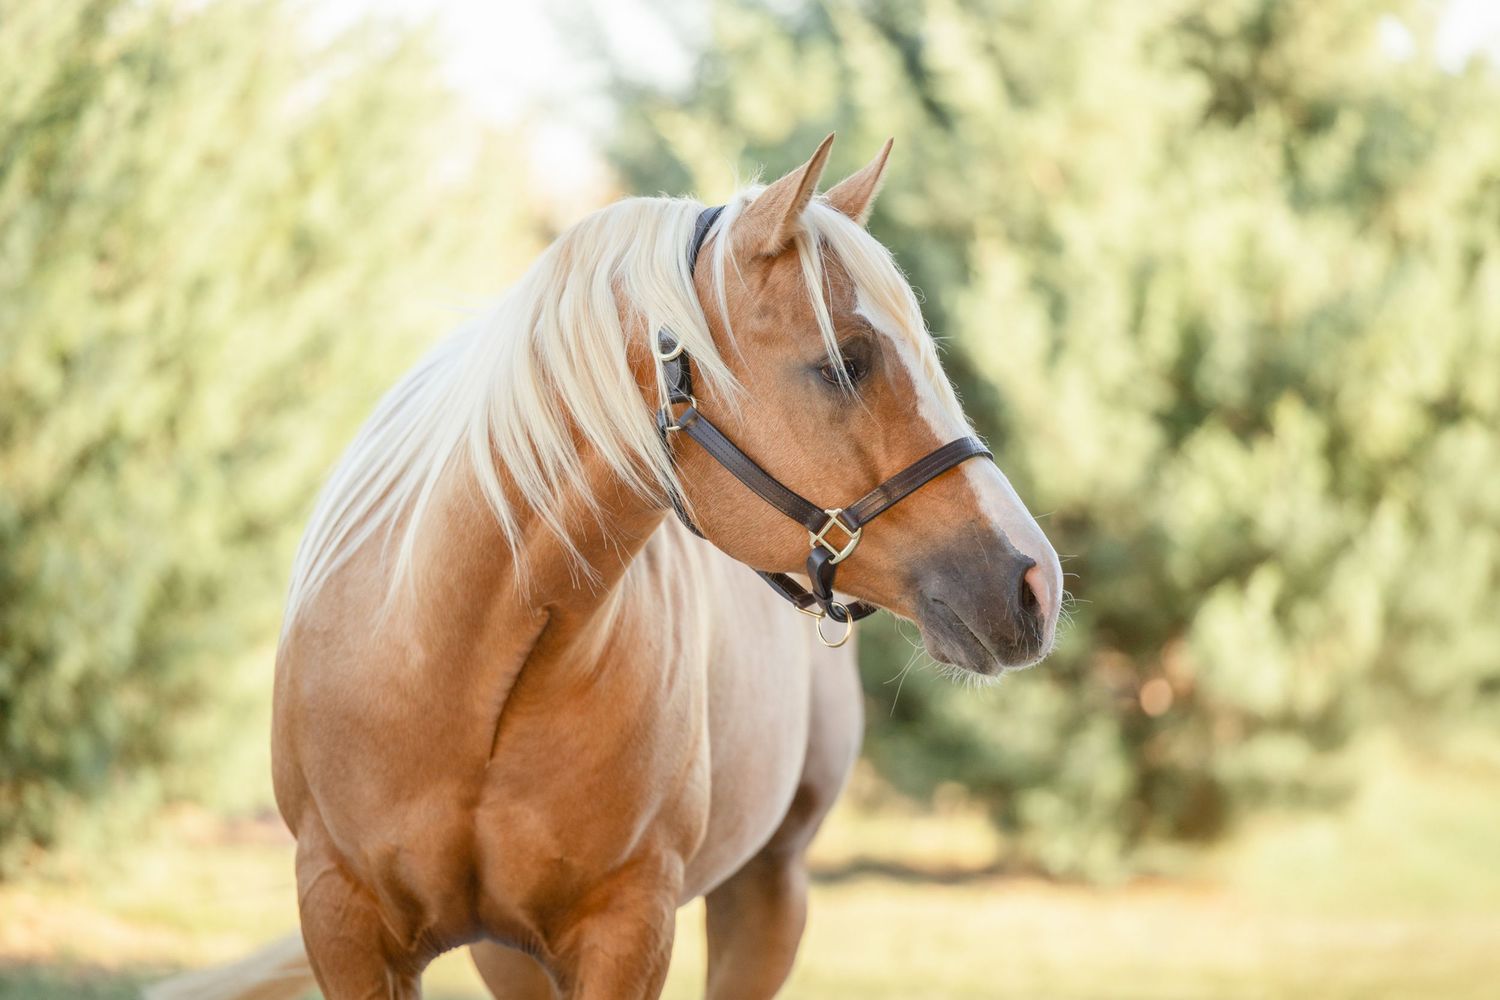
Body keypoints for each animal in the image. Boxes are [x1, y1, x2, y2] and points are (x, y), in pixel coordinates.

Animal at [151, 134, 1062, 1000]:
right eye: (846, 361)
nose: (1035, 584)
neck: (462, 663)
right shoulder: (343, 922)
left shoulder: (626, 931)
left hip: (771, 889)